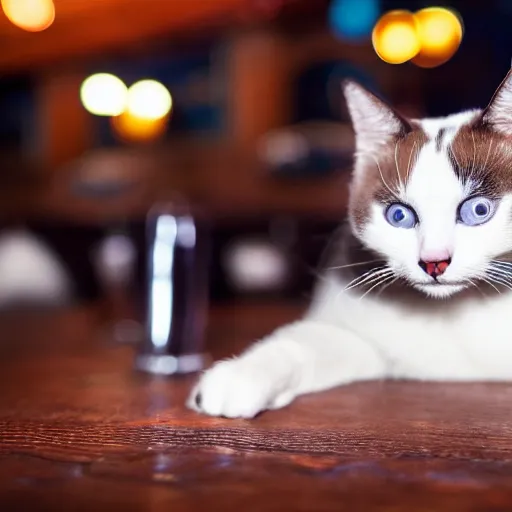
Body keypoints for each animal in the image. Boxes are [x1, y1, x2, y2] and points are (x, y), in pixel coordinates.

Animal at [188, 68, 512, 418]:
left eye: (478, 210)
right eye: (399, 215)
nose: (433, 262)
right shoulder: (364, 338)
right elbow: (307, 341)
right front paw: (243, 374)